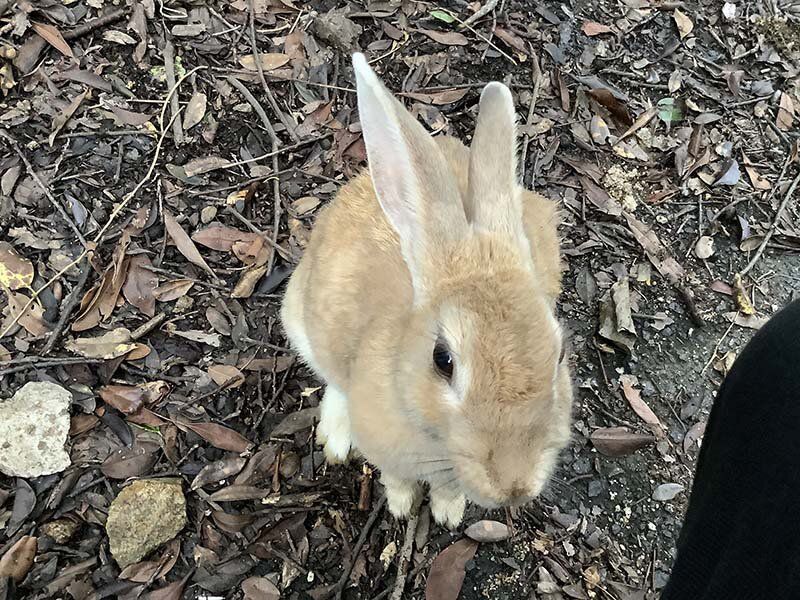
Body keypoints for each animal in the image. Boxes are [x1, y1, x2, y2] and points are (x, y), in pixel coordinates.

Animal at [282, 52, 576, 528]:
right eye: (443, 360)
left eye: (560, 353)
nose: (513, 486)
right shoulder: (387, 450)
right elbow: (396, 478)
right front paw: (403, 508)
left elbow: (447, 489)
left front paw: (448, 513)